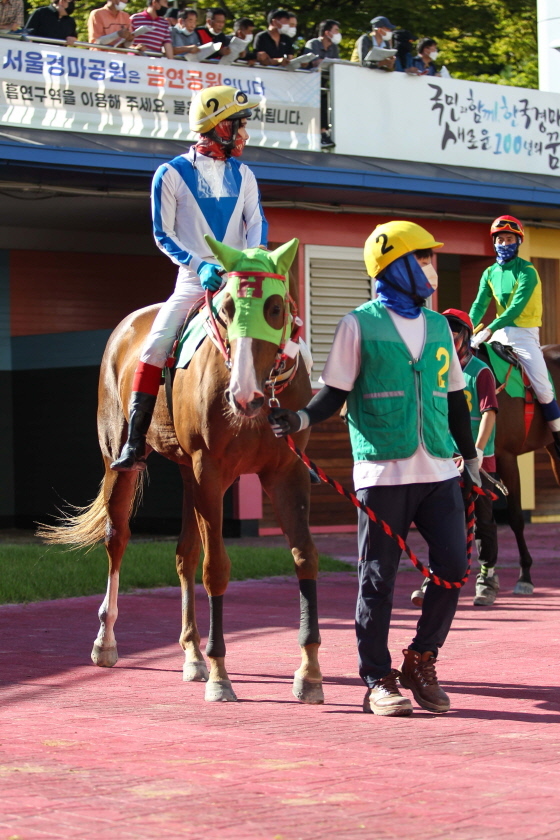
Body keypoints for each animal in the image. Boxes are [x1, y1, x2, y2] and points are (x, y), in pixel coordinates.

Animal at [40, 236, 324, 704]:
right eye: (226, 307)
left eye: (276, 307)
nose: (244, 394)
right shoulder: (210, 470)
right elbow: (216, 568)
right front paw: (220, 674)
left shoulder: (285, 472)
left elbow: (304, 556)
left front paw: (310, 671)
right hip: (123, 461)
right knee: (117, 539)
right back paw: (107, 641)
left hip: (191, 477)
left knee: (184, 554)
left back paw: (191, 654)